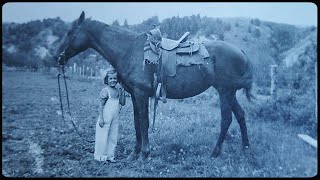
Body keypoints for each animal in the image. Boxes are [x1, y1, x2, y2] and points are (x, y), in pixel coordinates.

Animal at [55, 11, 255, 160]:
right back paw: (245, 148)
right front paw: (134, 154)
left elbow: (143, 122)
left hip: (225, 92)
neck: (128, 50)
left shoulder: (141, 94)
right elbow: (137, 122)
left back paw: (215, 153)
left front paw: (144, 154)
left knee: (226, 119)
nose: (57, 56)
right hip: (229, 93)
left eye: (70, 32)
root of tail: (241, 52)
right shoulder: (134, 95)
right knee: (241, 115)